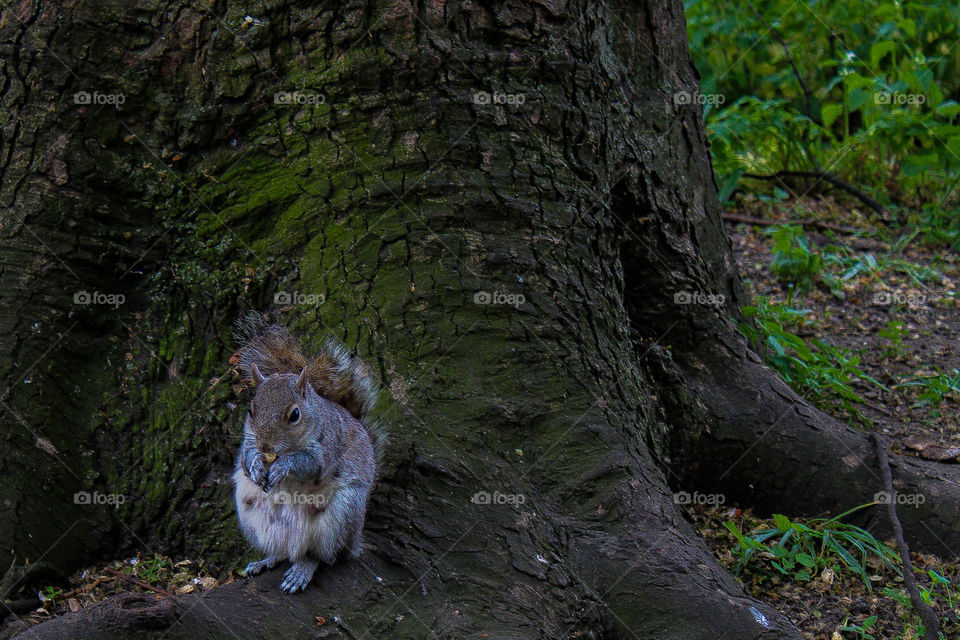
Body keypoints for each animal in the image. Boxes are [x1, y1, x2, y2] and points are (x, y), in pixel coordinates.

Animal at [231, 316, 384, 596]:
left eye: (294, 415)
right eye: (250, 410)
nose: (265, 446)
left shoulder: (327, 447)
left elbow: (311, 465)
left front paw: (283, 466)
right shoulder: (248, 440)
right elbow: (245, 457)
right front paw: (256, 465)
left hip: (342, 514)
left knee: (323, 556)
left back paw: (303, 569)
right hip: (249, 515)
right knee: (282, 552)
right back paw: (266, 560)